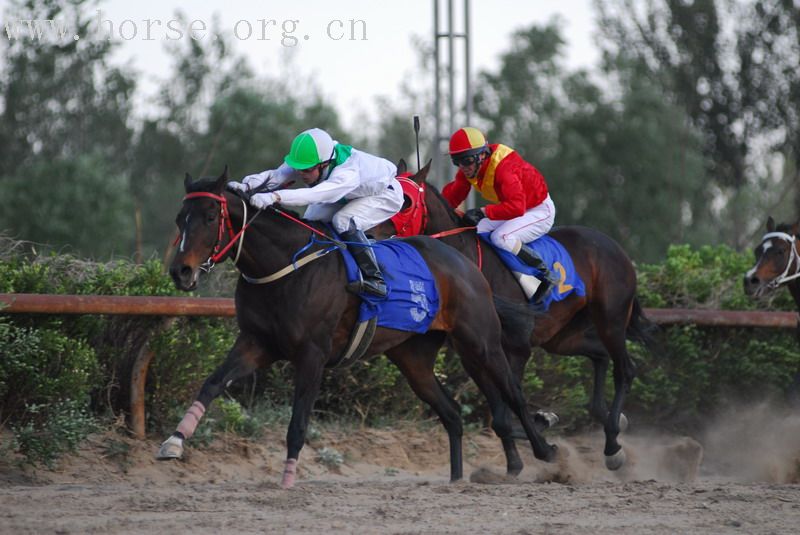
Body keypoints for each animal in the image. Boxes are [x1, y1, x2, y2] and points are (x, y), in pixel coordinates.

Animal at [156, 170, 556, 488]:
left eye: (210, 216)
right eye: (179, 218)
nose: (181, 271)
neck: (287, 266)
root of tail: (464, 263)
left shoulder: (312, 354)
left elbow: (298, 422)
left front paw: (287, 478)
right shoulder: (256, 343)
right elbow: (212, 383)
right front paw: (174, 441)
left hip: (479, 341)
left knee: (513, 394)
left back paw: (547, 451)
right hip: (413, 359)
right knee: (453, 413)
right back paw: (456, 479)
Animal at [372, 161, 652, 472]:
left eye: (404, 201)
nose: (370, 234)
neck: (469, 264)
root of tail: (615, 246)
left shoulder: (514, 348)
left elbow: (508, 405)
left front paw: (540, 435)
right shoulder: (473, 354)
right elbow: (500, 416)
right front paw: (517, 460)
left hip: (610, 318)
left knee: (624, 368)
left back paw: (613, 445)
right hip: (562, 337)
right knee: (600, 355)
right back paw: (609, 418)